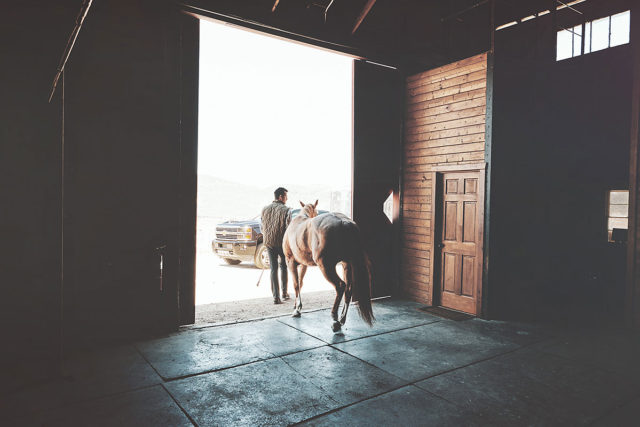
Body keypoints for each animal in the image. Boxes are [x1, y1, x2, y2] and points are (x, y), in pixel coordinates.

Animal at [282, 199, 372, 332]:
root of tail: (344, 222)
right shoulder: (304, 265)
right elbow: (300, 283)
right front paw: (297, 307)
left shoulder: (290, 262)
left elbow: (295, 285)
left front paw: (297, 310)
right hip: (346, 264)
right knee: (348, 289)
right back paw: (341, 320)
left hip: (326, 266)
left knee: (340, 286)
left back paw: (335, 319)